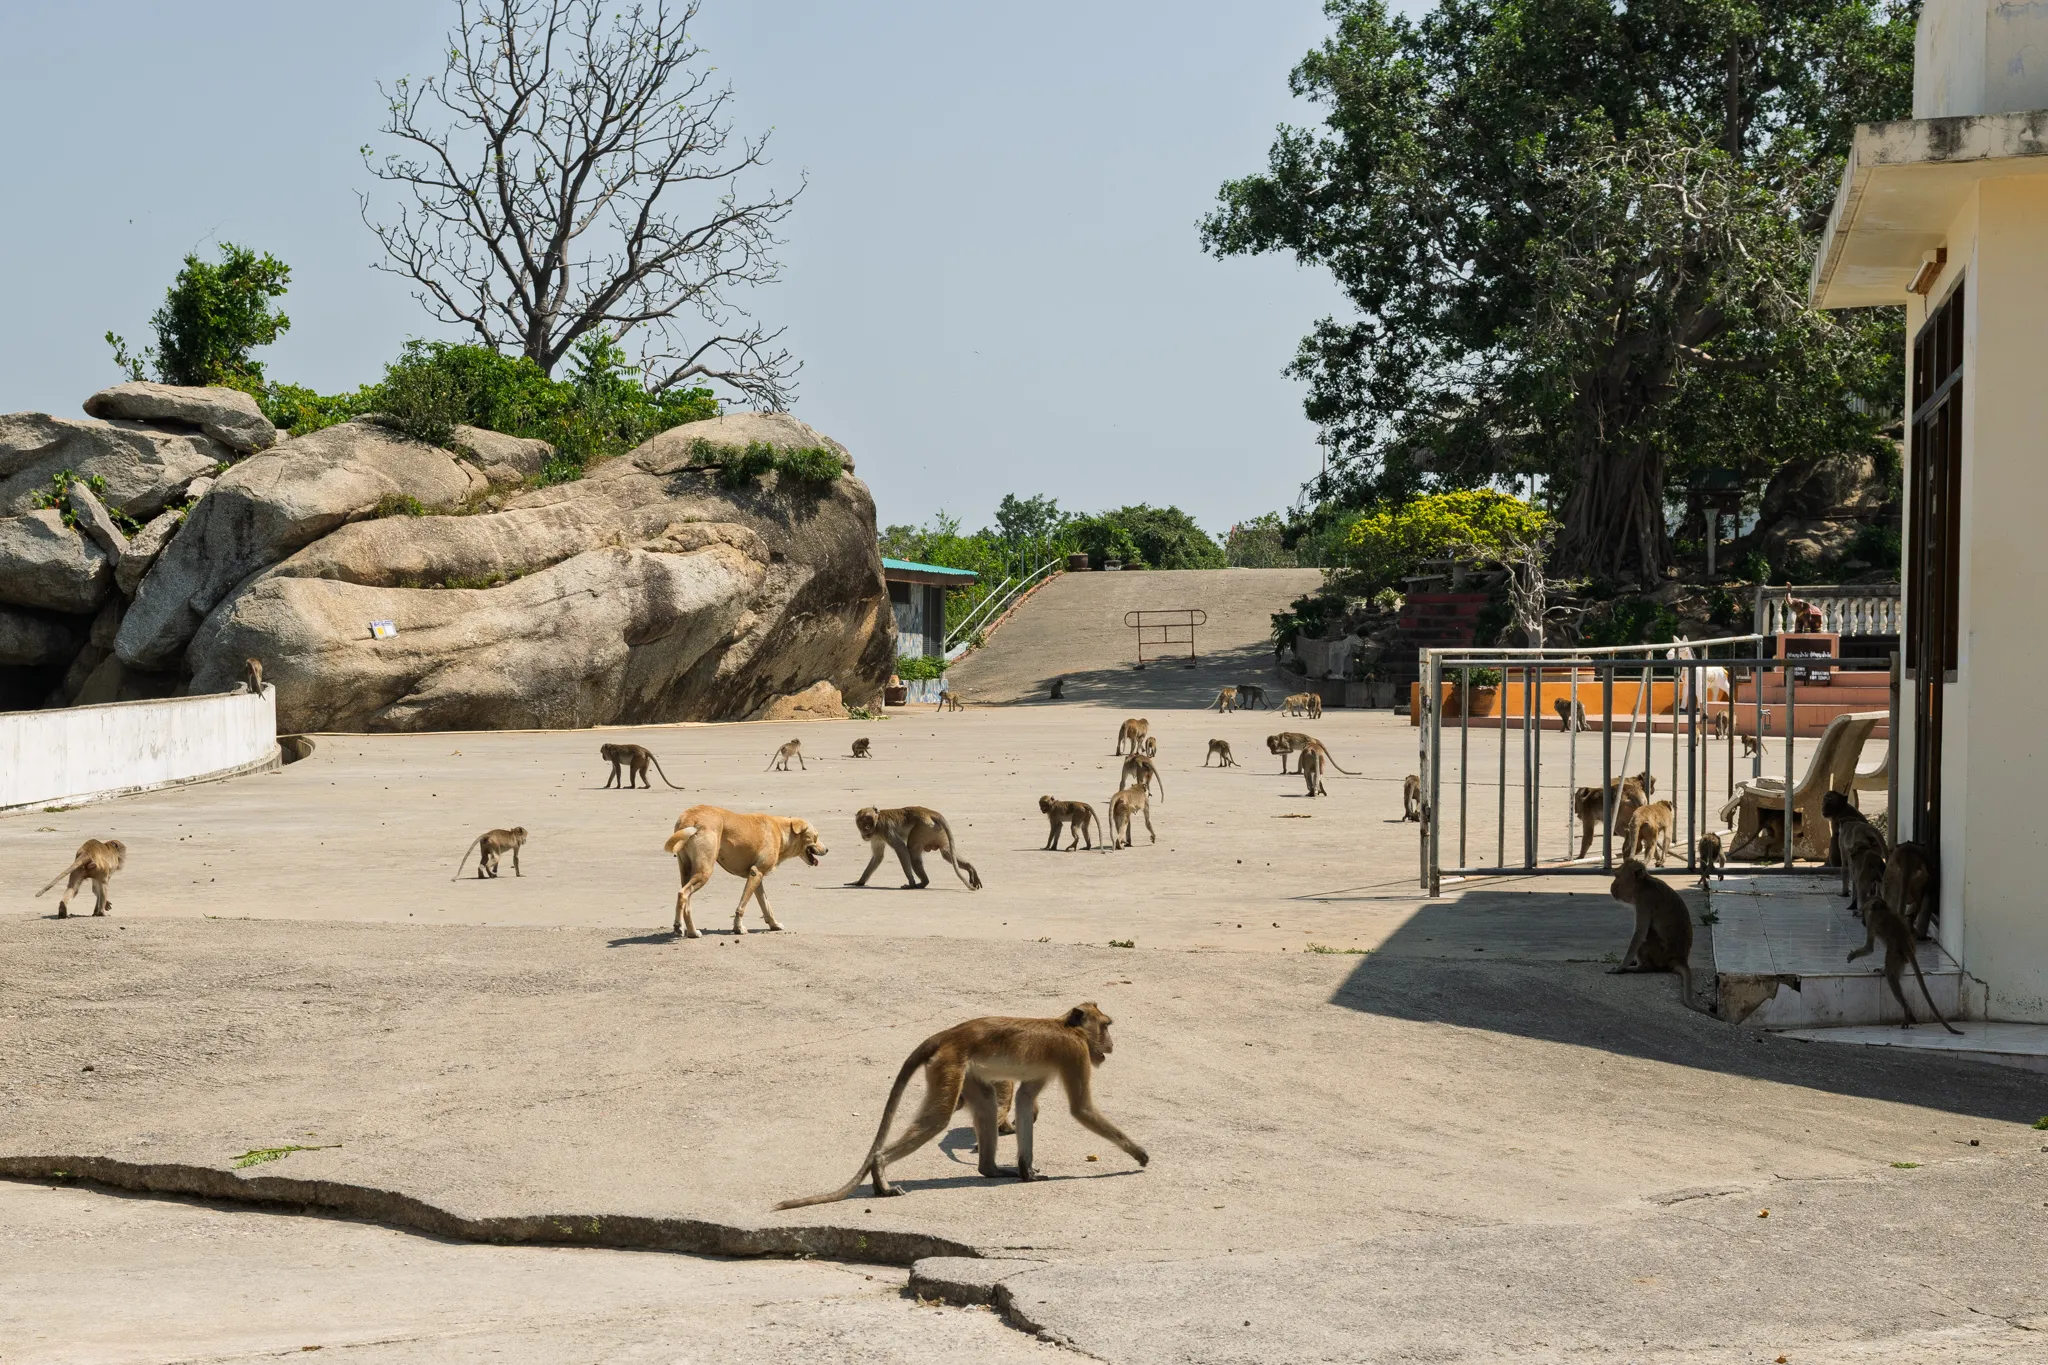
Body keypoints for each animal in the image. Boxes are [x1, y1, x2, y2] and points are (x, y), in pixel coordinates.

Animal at [772, 1003, 1147, 1208]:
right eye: (1106, 1027)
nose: (1111, 1044)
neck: (1067, 1027)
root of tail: (947, 1036)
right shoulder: (1074, 1054)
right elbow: (1081, 1109)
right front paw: (1138, 1154)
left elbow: (1026, 1101)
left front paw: (1026, 1170)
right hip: (949, 1065)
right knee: (938, 1119)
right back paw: (880, 1173)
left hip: (962, 1070)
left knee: (985, 1104)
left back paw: (990, 1169)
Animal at [852, 806, 982, 890]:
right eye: (862, 822)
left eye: (869, 819)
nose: (866, 829)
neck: (877, 823)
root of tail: (929, 812)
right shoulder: (876, 837)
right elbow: (878, 857)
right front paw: (860, 882)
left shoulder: (885, 828)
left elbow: (901, 848)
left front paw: (911, 882)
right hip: (936, 830)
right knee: (945, 852)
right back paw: (970, 868)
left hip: (923, 827)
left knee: (911, 851)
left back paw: (922, 883)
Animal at [1607, 859, 1701, 1010]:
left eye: (1617, 877)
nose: (1611, 886)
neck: (1643, 886)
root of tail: (1680, 959)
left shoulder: (1644, 901)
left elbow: (1640, 933)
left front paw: (1621, 967)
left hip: (1660, 954)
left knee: (1649, 934)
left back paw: (1642, 968)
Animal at [1847, 890, 1963, 1034]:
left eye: (1867, 900)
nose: (1861, 907)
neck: (1882, 908)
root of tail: (1907, 946)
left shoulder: (1871, 920)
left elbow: (1869, 948)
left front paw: (1853, 955)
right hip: (1903, 957)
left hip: (1896, 954)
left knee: (1891, 976)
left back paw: (1907, 1012)